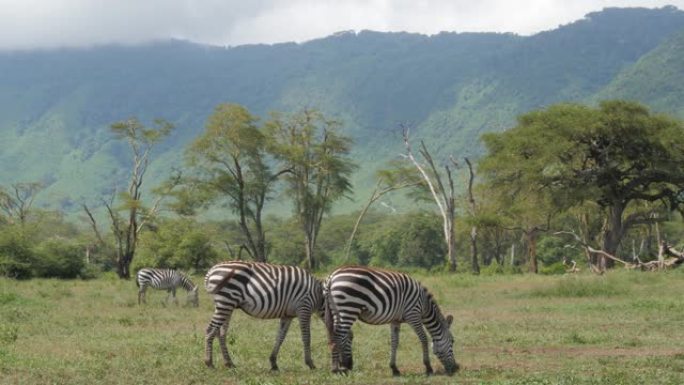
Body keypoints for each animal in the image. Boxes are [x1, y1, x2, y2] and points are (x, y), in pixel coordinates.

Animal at [322, 266, 460, 374]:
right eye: (453, 341)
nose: (456, 368)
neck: (424, 305)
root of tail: (332, 276)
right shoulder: (413, 314)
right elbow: (424, 339)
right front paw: (428, 367)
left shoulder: (395, 320)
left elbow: (394, 342)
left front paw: (394, 368)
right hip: (349, 307)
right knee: (339, 336)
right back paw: (338, 367)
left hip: (337, 311)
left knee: (336, 335)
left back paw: (342, 365)